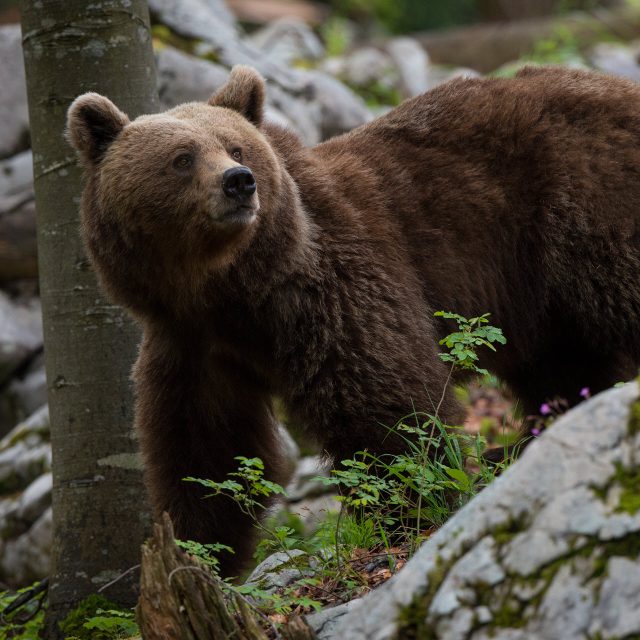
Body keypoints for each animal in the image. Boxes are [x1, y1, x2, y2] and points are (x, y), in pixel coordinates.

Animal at [66, 64, 640, 576]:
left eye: (237, 147)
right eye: (182, 157)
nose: (239, 182)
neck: (230, 289)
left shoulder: (328, 284)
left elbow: (381, 396)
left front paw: (411, 504)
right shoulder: (191, 344)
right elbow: (206, 452)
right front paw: (199, 552)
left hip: (580, 207)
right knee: (564, 365)